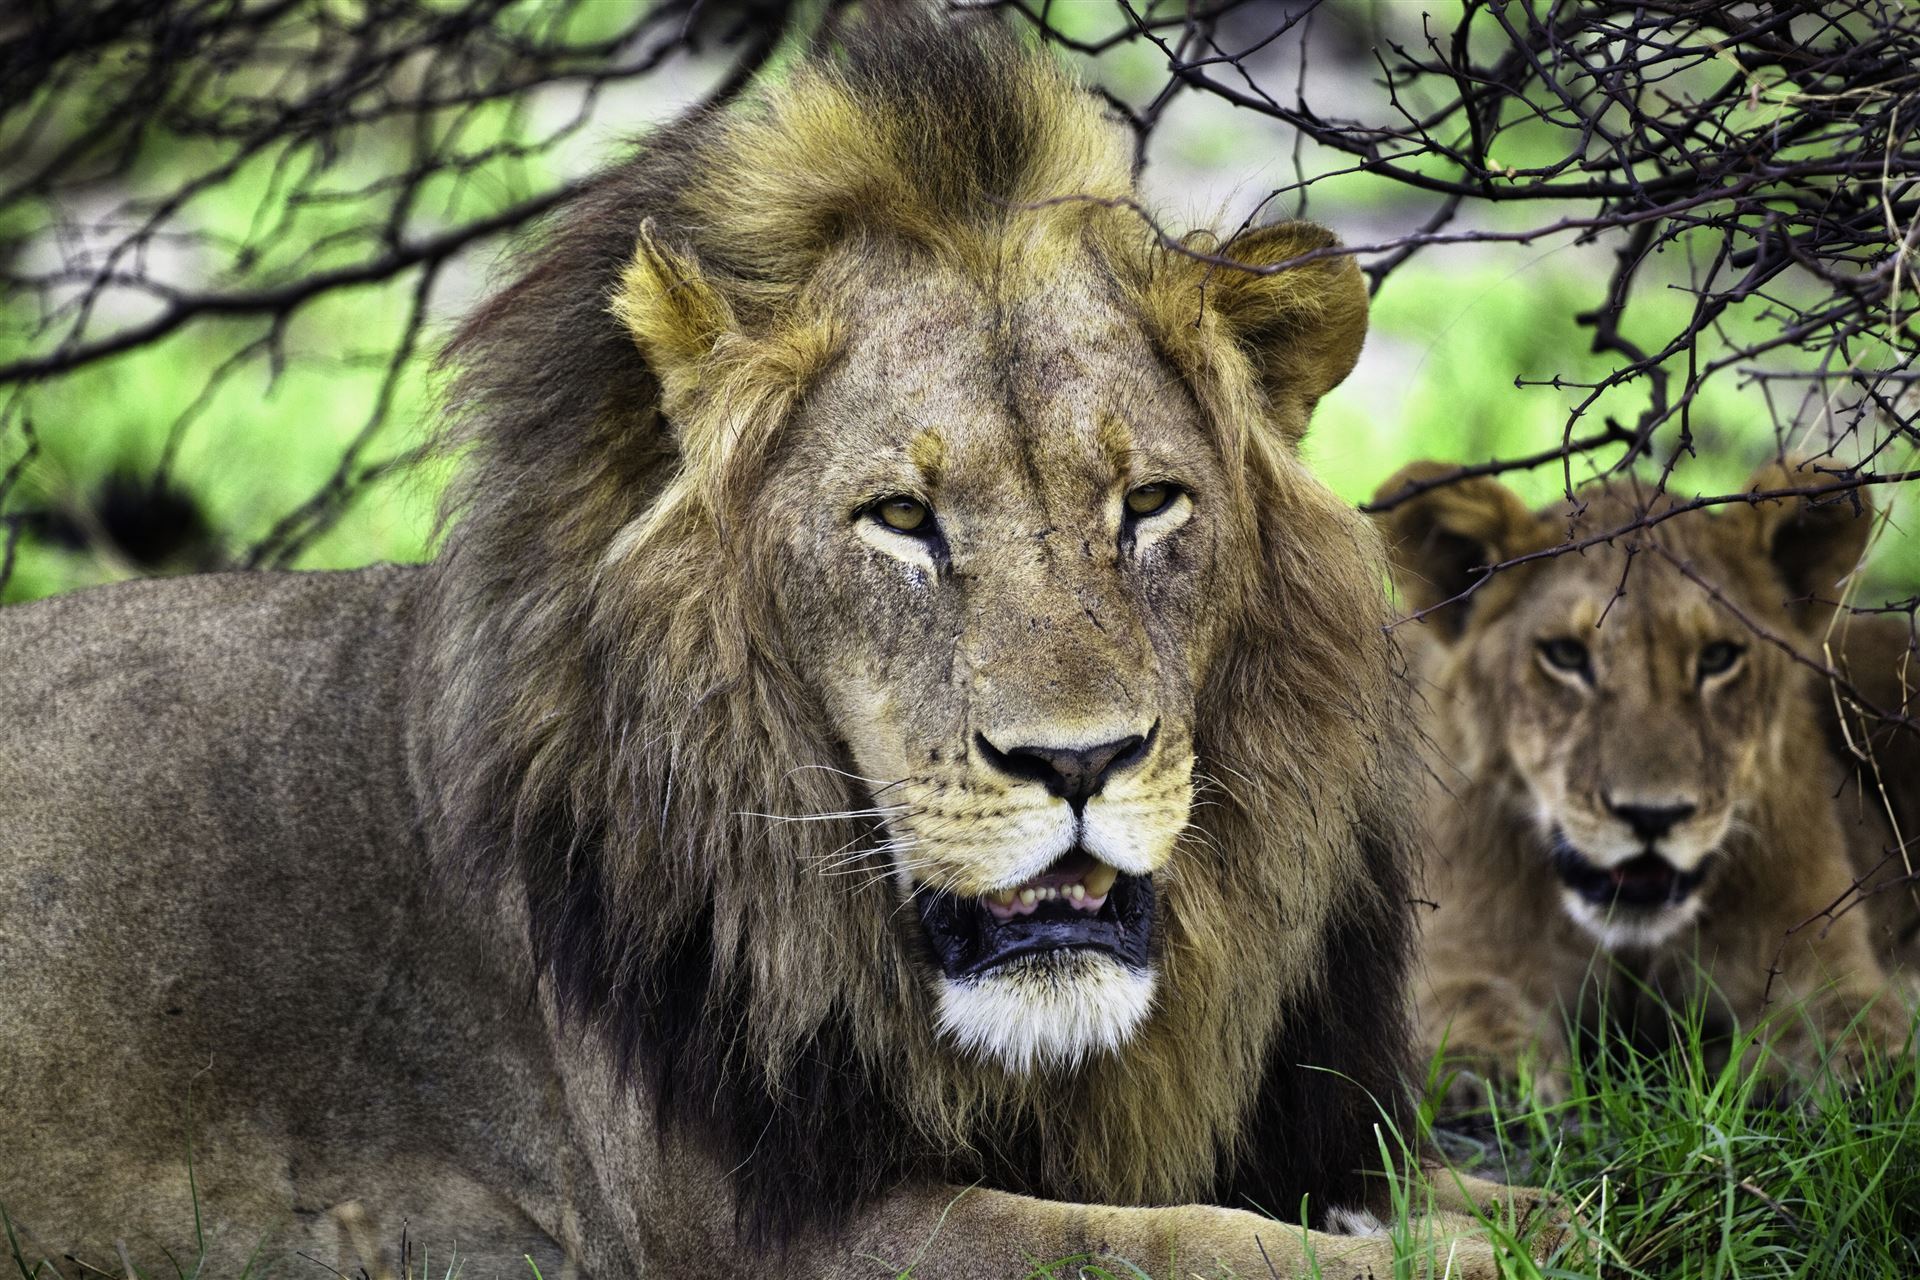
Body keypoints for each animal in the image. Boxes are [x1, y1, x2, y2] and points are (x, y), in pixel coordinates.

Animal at [0, 18, 1543, 1280]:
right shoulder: (755, 1227)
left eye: (1150, 504)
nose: (1081, 762)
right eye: (903, 518)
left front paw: (1514, 1220)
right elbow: (1165, 1243)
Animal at [1376, 460, 1915, 1105]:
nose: (1652, 817)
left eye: (1717, 657)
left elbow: (1852, 1022)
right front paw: (1487, 1076)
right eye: (1565, 655)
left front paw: (1858, 1071)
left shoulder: (1822, 954)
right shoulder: (1453, 951)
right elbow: (1467, 1007)